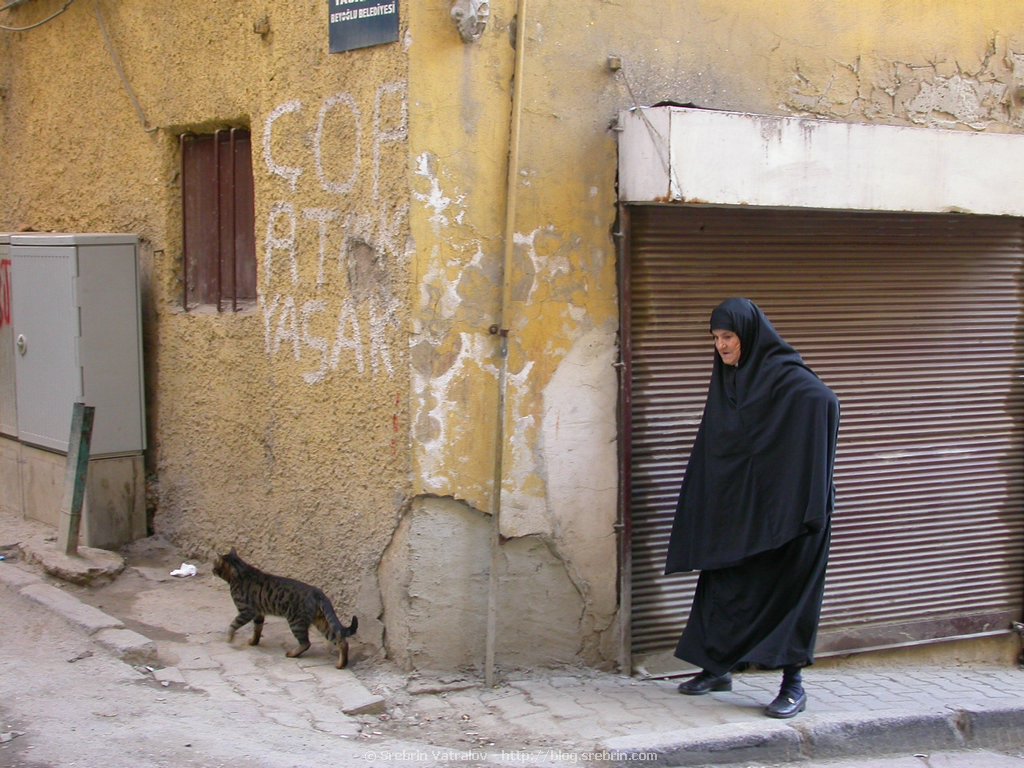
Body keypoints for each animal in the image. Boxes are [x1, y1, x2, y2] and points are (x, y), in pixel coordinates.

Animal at [209, 548, 358, 671]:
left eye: (215, 564)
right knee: (341, 641)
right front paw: (253, 642)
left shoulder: (247, 611)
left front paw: (229, 638)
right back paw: (341, 664)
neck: (240, 571)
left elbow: (233, 625)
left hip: (296, 622)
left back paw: (292, 654)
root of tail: (318, 592)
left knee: (306, 643)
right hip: (321, 622)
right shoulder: (258, 614)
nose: (211, 570)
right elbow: (257, 630)